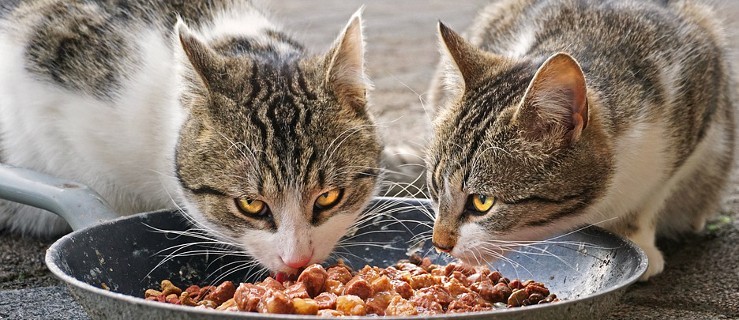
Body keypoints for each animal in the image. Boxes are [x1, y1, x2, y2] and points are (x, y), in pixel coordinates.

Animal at [428, 0, 736, 280]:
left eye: (482, 201)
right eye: (435, 186)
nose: (440, 244)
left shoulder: (698, 105)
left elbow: (651, 197)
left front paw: (638, 239)